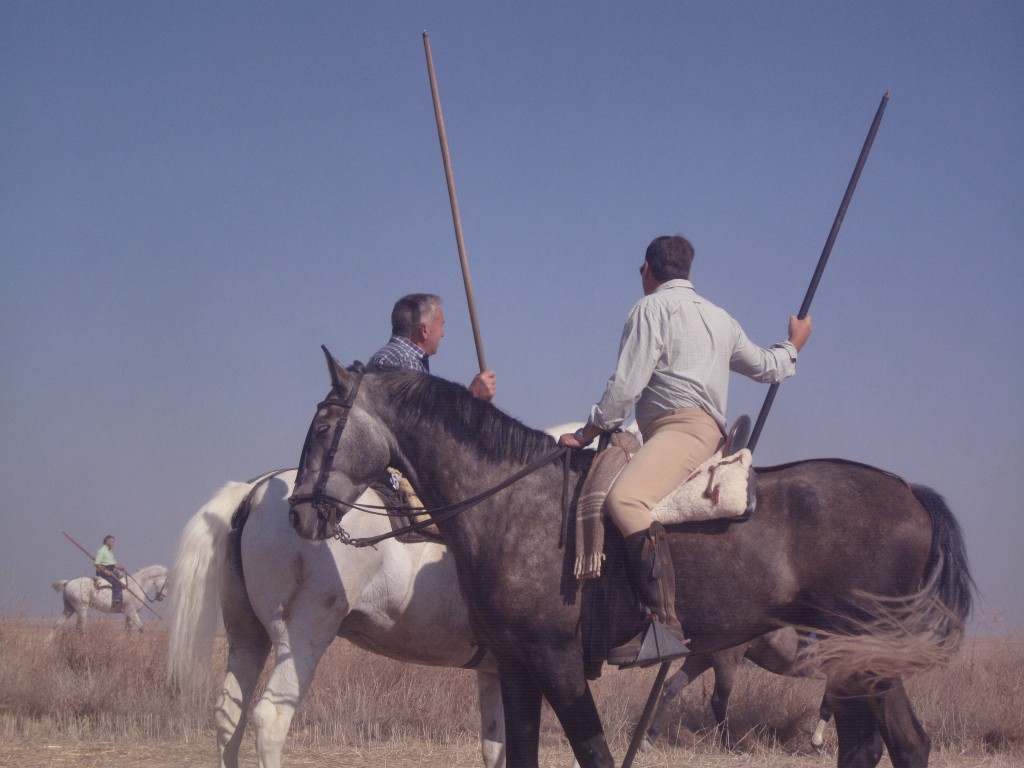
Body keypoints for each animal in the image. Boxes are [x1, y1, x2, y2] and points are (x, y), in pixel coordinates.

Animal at [165, 468, 505, 768]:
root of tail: (253, 491)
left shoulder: (493, 674)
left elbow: (494, 749)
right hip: (301, 638)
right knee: (270, 718)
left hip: (246, 637)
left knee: (228, 715)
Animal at [290, 354, 974, 768]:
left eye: (323, 426)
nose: (299, 516)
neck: (512, 501)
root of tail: (909, 491)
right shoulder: (515, 666)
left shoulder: (557, 662)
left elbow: (593, 752)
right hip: (854, 659)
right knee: (874, 744)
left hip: (864, 654)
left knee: (901, 743)